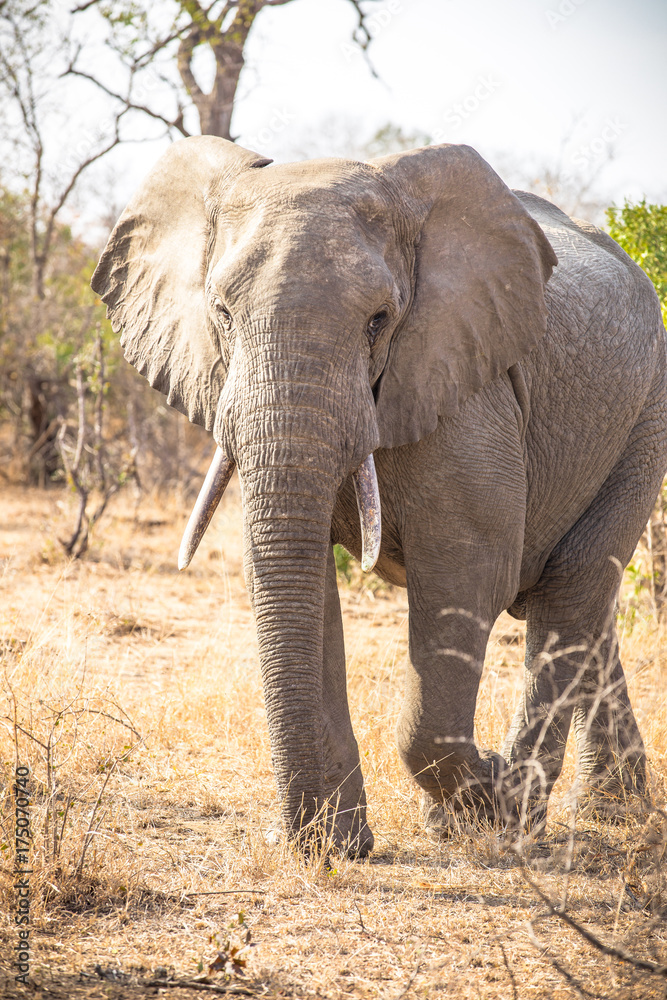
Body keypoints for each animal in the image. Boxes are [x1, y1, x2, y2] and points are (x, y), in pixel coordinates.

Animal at [92, 136, 667, 856]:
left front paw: (475, 802)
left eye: (379, 321)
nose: (306, 839)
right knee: (586, 599)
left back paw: (518, 818)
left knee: (570, 587)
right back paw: (606, 809)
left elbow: (465, 575)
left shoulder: (468, 391)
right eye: (222, 315)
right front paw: (336, 847)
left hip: (644, 415)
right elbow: (300, 578)